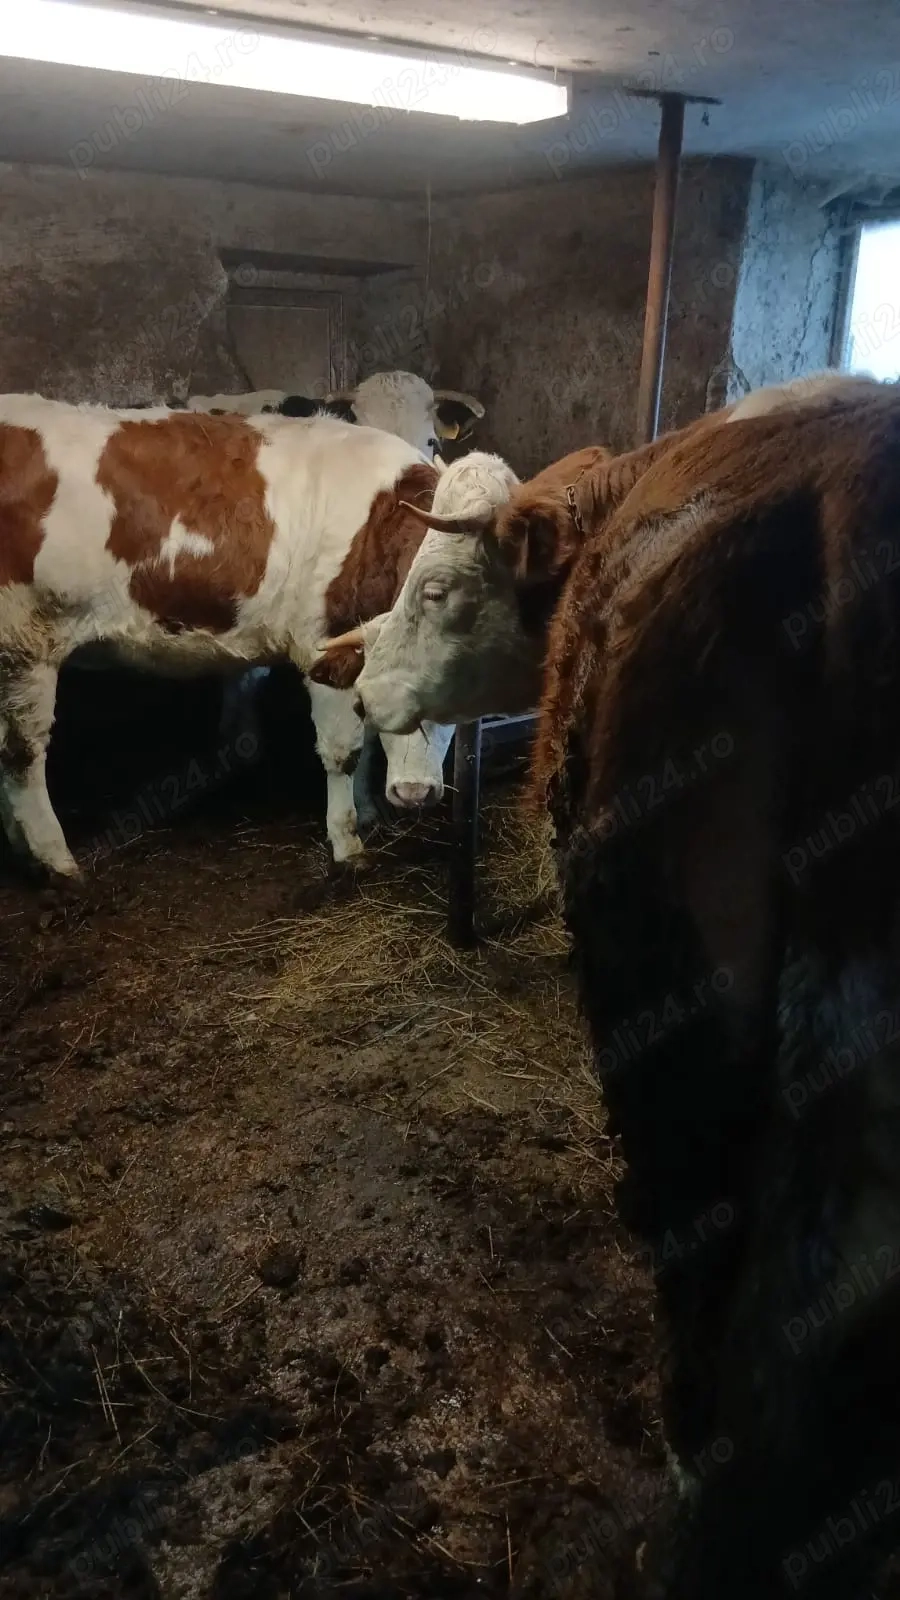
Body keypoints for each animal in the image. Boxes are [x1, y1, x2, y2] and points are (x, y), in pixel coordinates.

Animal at [0, 395, 479, 882]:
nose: (415, 793)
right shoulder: (322, 644)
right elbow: (344, 752)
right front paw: (347, 845)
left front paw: (366, 813)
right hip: (24, 642)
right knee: (22, 753)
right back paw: (56, 858)